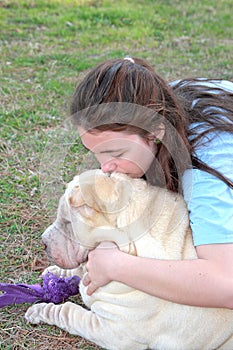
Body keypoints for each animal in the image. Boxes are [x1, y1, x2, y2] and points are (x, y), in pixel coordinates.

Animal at [25, 170, 233, 350]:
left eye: (67, 223)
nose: (43, 242)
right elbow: (79, 270)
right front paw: (55, 272)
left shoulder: (114, 331)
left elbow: (68, 312)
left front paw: (40, 311)